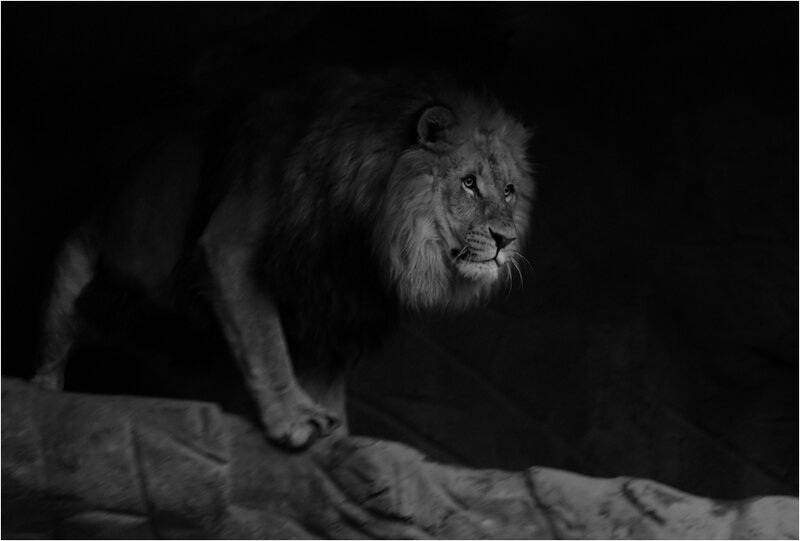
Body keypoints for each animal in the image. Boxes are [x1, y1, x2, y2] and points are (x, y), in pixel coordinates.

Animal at [31, 70, 535, 448]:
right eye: (468, 183)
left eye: (509, 190)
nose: (505, 240)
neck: (366, 231)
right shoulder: (231, 247)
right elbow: (266, 344)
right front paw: (296, 419)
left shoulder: (335, 303)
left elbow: (328, 388)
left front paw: (338, 438)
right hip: (74, 264)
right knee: (55, 343)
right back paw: (42, 398)